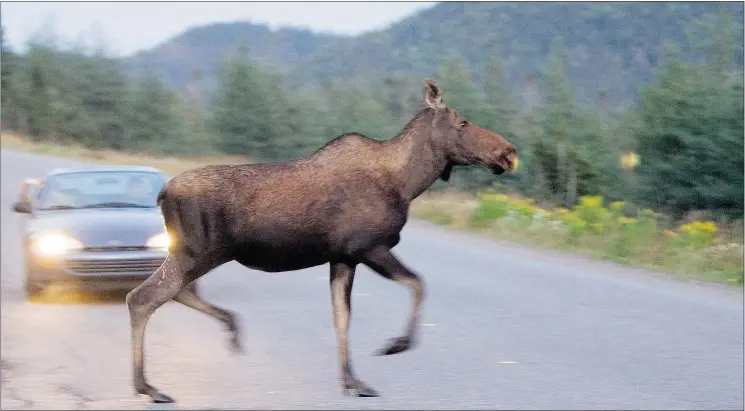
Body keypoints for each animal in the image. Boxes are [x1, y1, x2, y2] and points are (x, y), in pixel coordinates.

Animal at [125, 79, 516, 404]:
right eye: (462, 123)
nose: (508, 152)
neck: (407, 182)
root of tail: (162, 194)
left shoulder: (343, 257)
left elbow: (342, 317)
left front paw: (352, 382)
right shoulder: (368, 247)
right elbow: (418, 284)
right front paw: (395, 345)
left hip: (194, 254)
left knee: (174, 293)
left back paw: (226, 329)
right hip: (197, 252)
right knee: (142, 298)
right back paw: (148, 387)